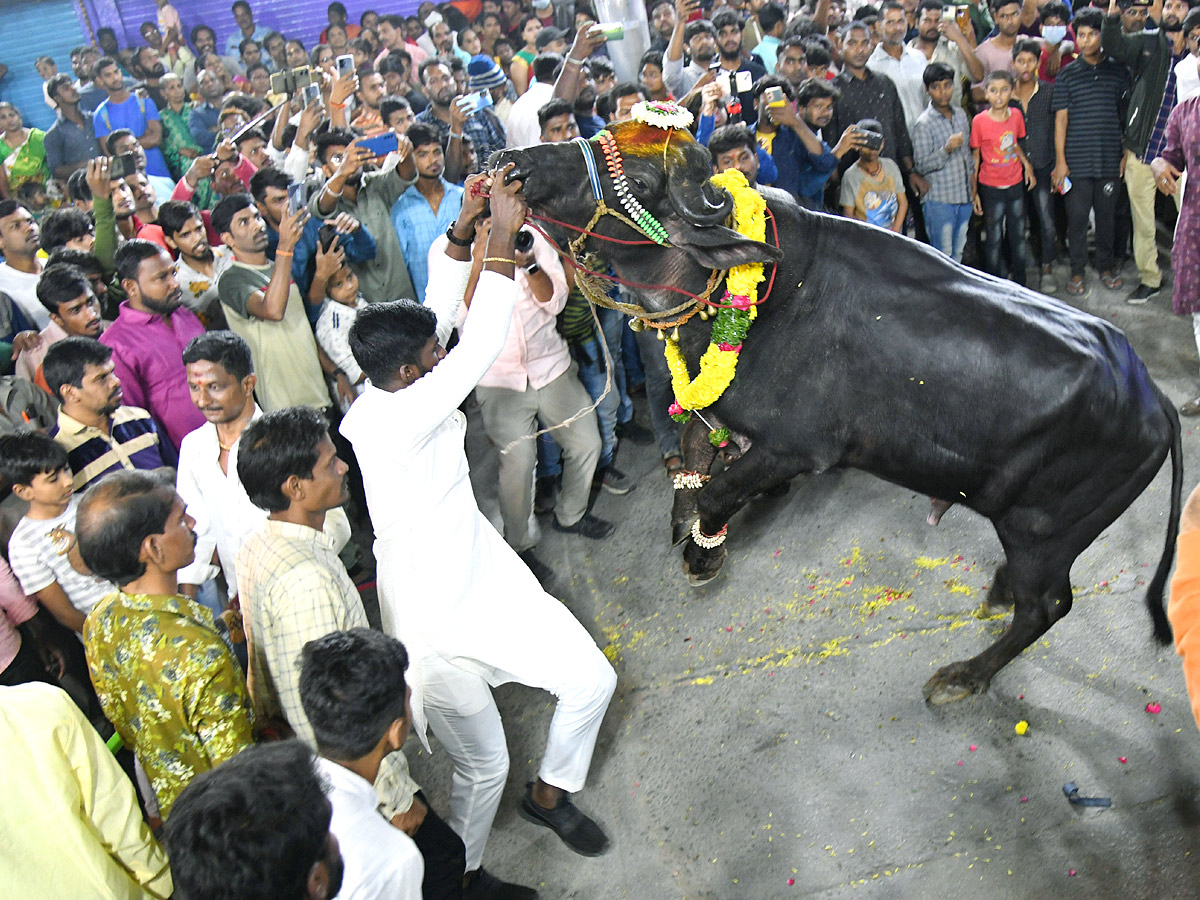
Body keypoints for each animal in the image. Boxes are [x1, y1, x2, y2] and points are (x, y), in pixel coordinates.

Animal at [496, 125, 1180, 705]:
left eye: (637, 182)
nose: (515, 163)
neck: (763, 291)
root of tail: (1156, 399)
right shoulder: (724, 412)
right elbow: (691, 450)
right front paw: (686, 523)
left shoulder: (798, 449)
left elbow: (720, 488)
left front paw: (701, 554)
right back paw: (996, 591)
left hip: (1042, 532)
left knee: (1047, 607)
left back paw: (963, 675)